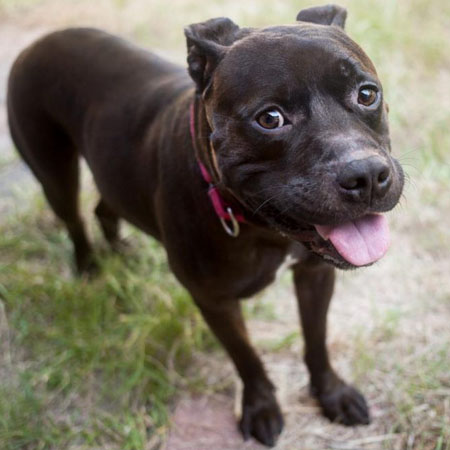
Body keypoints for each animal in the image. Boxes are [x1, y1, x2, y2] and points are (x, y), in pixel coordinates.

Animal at [7, 4, 404, 446]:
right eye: (270, 119)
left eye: (366, 94)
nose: (365, 174)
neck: (259, 227)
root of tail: (42, 41)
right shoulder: (214, 301)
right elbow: (246, 358)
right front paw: (261, 407)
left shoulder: (315, 275)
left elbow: (316, 341)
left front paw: (331, 394)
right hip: (54, 172)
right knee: (75, 218)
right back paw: (91, 267)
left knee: (103, 209)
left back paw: (121, 251)